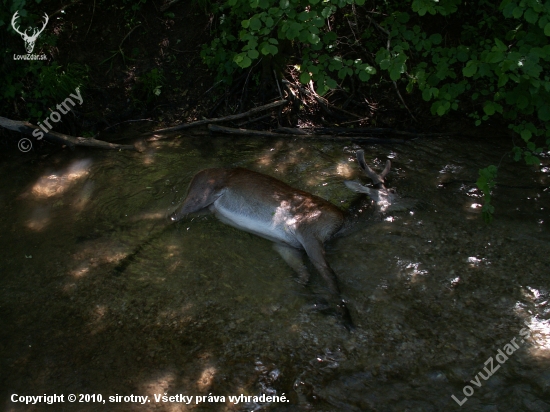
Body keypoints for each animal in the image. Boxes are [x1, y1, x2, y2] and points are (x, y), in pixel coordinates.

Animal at [172, 150, 392, 328]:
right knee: (172, 215)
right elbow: (330, 276)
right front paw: (346, 319)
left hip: (206, 210)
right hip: (199, 196)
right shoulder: (309, 233)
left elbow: (303, 276)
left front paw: (320, 305)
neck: (341, 225)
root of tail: (196, 175)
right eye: (386, 191)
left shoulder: (286, 245)